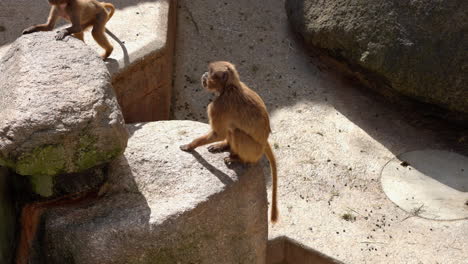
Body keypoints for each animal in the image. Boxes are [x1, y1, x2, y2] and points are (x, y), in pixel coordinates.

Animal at [181, 60, 280, 222]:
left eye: (210, 72)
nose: (204, 75)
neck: (229, 87)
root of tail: (264, 142)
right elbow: (221, 133)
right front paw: (220, 144)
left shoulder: (219, 106)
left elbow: (218, 133)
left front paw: (190, 145)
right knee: (232, 127)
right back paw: (226, 146)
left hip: (253, 150)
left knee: (236, 132)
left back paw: (238, 159)